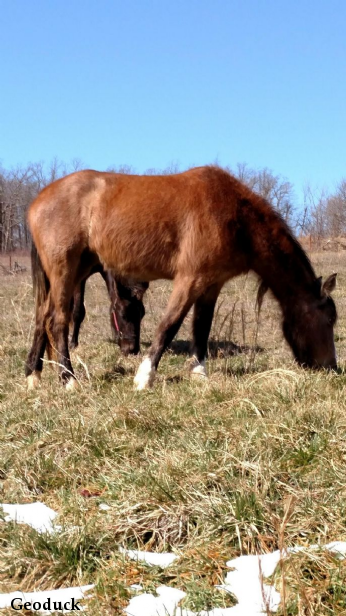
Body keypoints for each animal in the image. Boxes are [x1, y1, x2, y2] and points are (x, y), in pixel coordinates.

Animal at [25, 166, 338, 390]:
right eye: (328, 320)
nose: (331, 368)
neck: (235, 216)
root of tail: (37, 201)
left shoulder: (212, 284)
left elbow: (202, 327)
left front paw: (199, 373)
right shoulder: (190, 279)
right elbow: (169, 326)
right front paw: (144, 377)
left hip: (76, 269)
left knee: (42, 316)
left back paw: (33, 375)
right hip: (65, 269)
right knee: (57, 320)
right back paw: (68, 380)